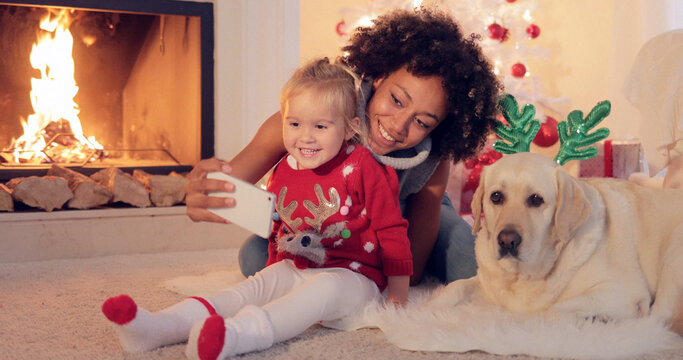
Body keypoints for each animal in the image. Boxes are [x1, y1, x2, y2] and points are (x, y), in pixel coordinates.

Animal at [430, 152, 680, 334]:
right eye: (496, 197)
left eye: (536, 200)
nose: (507, 240)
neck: (524, 276)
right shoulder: (486, 283)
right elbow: (457, 286)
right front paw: (428, 308)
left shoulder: (622, 291)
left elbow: (552, 309)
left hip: (672, 257)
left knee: (658, 317)